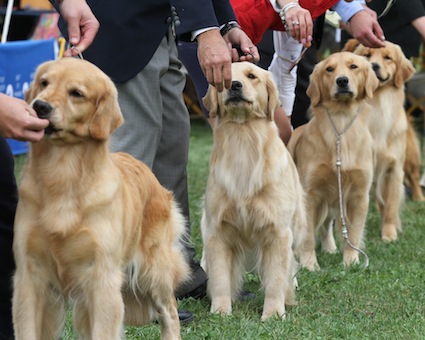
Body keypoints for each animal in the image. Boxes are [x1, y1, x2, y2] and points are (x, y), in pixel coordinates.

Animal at [13, 58, 189, 340]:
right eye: (43, 82)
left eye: (76, 93)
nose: (39, 106)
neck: (62, 175)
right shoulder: (30, 275)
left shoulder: (101, 278)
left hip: (155, 269)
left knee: (170, 312)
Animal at [199, 61, 304, 322]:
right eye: (224, 78)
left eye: (252, 76)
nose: (235, 85)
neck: (243, 137)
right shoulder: (217, 229)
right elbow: (220, 277)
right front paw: (220, 311)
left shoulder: (278, 231)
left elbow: (276, 278)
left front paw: (274, 313)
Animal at [286, 51, 380, 270]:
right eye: (329, 69)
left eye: (353, 66)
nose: (342, 80)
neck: (341, 120)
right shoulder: (310, 194)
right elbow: (308, 235)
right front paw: (309, 264)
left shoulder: (358, 195)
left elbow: (353, 233)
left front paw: (351, 261)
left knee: (327, 224)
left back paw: (329, 247)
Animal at [348, 39, 414, 242]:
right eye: (367, 55)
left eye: (388, 58)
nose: (374, 66)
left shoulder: (394, 169)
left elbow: (391, 205)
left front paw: (389, 232)